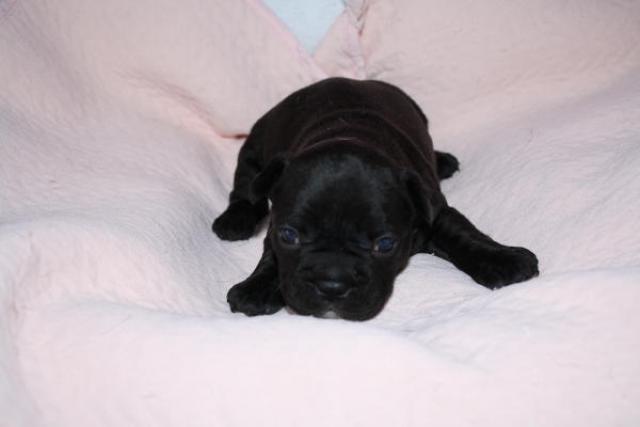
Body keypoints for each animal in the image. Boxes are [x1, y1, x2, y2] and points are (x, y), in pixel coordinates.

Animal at [212, 78, 538, 321]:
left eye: (385, 245)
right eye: (289, 236)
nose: (332, 284)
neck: (350, 135)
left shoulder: (433, 210)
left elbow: (463, 233)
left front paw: (504, 259)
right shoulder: (276, 224)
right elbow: (271, 254)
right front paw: (256, 288)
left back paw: (443, 160)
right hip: (255, 148)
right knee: (246, 185)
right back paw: (235, 219)